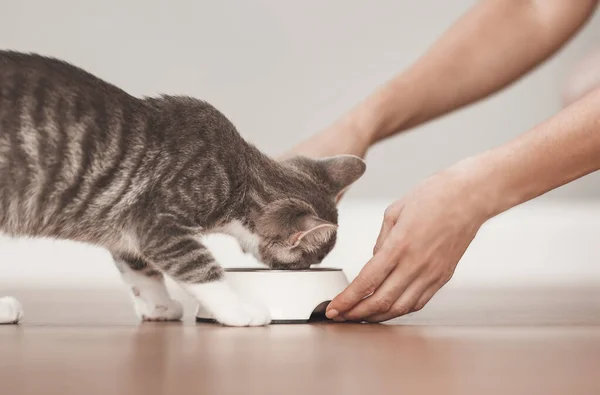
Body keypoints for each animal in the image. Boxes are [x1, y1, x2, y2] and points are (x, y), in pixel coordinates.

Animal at [0, 51, 366, 326]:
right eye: (308, 259)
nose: (306, 270)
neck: (241, 175)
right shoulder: (157, 221)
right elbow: (198, 265)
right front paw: (239, 310)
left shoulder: (127, 225)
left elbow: (140, 267)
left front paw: (158, 305)